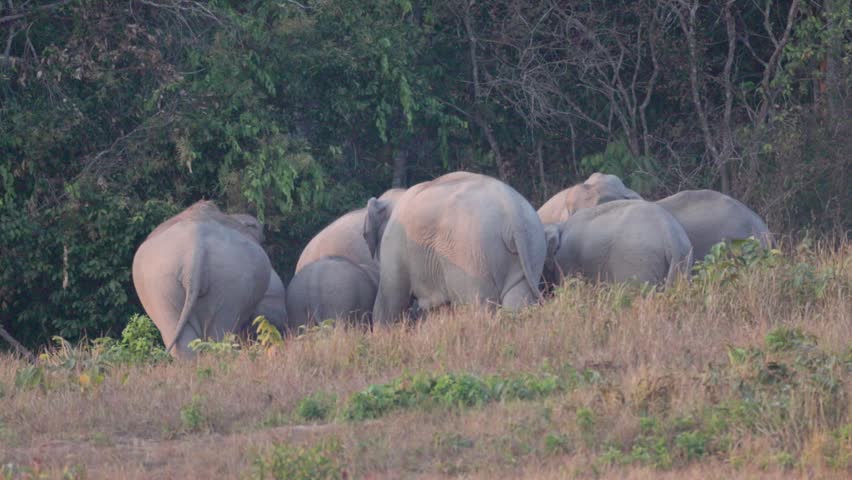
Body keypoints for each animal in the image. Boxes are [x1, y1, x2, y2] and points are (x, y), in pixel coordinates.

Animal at [364, 171, 552, 325]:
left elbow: (389, 300)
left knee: (478, 305)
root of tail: (513, 213)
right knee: (517, 301)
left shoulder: (394, 241)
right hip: (532, 246)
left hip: (472, 253)